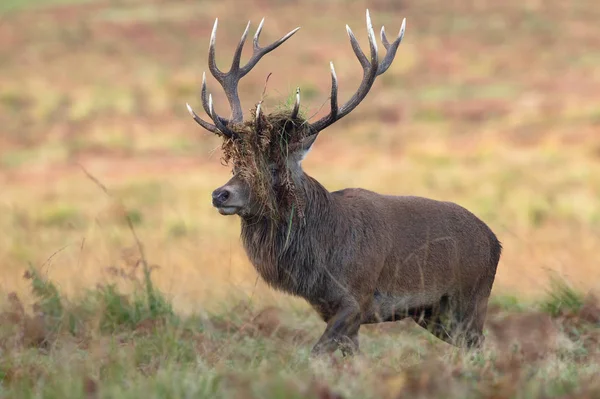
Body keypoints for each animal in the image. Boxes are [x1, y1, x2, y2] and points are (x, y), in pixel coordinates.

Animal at [185, 10, 504, 358]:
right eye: (237, 163)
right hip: (433, 314)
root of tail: (495, 242)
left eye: (274, 166)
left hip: (470, 299)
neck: (321, 260)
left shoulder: (356, 299)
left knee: (483, 347)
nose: (221, 194)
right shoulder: (332, 310)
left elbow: (315, 354)